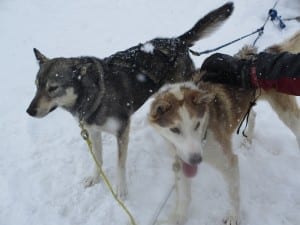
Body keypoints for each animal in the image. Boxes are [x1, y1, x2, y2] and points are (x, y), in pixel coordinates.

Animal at [148, 30, 300, 224]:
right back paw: (248, 140)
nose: (196, 159)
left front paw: (234, 216)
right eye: (174, 129)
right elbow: (184, 197)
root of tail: (268, 51)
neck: (204, 137)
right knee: (253, 115)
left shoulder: (228, 162)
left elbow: (234, 194)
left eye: (197, 124)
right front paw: (179, 217)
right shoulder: (181, 160)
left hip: (287, 113)